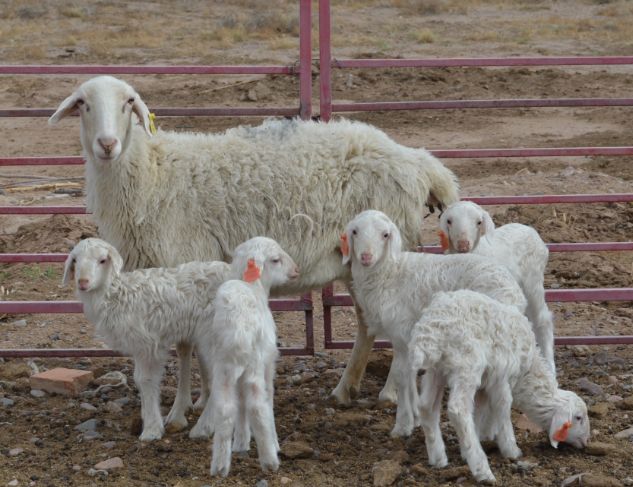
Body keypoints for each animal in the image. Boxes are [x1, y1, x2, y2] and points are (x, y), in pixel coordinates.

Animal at [49, 74, 460, 406]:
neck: (151, 173)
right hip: (361, 262)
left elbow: (193, 347)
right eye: (83, 104)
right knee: (368, 325)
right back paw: (346, 390)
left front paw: (201, 401)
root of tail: (420, 162)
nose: (107, 144)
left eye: (127, 102)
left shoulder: (189, 263)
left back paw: (390, 393)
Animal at [61, 239, 230, 442]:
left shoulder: (148, 344)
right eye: (75, 260)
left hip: (214, 335)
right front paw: (145, 416)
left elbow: (145, 379)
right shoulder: (138, 345)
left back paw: (204, 427)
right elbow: (137, 378)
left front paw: (151, 429)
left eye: (102, 260)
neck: (116, 295)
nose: (83, 282)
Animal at [190, 236, 298, 476]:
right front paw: (274, 443)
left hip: (223, 366)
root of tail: (236, 322)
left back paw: (220, 466)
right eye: (275, 259)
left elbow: (239, 405)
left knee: (225, 408)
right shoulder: (268, 362)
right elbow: (267, 399)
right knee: (257, 406)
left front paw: (240, 443)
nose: (296, 270)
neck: (253, 287)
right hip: (253, 364)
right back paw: (270, 461)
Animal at [338, 210, 524, 404]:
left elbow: (399, 366)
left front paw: (389, 396)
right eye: (355, 232)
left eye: (385, 235)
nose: (366, 257)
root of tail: (513, 291)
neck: (389, 272)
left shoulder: (402, 326)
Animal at [436, 200, 556, 376]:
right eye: (449, 221)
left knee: (543, 319)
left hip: (533, 279)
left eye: (479, 222)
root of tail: (530, 229)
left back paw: (550, 367)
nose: (463, 245)